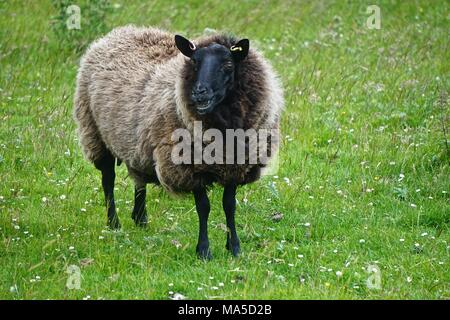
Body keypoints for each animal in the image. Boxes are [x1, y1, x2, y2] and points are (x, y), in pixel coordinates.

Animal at [74, 25, 284, 260]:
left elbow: (229, 205)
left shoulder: (236, 166)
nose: (199, 92)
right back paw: (113, 223)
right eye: (194, 62)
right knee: (108, 181)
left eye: (228, 65)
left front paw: (234, 247)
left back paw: (140, 218)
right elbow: (204, 207)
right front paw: (204, 250)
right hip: (95, 135)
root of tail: (120, 32)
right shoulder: (190, 168)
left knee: (138, 178)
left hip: (135, 142)